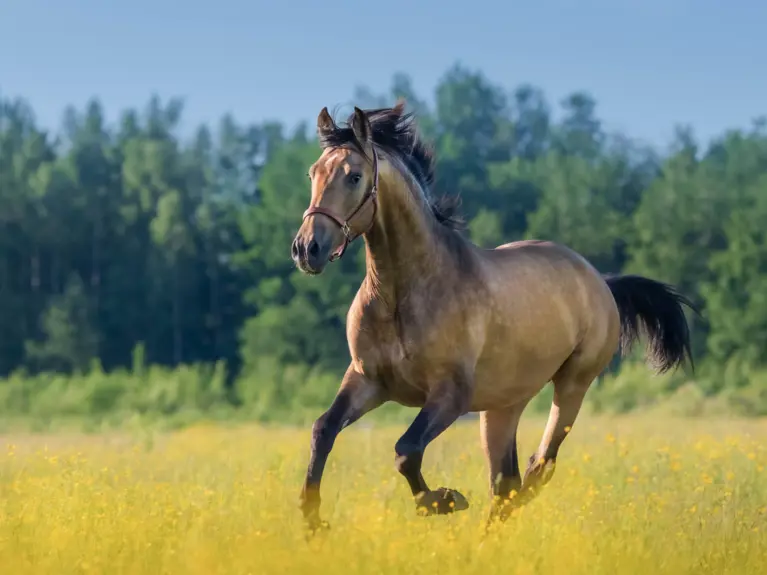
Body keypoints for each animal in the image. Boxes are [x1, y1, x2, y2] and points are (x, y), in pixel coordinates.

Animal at [290, 100, 696, 532]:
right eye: (313, 172)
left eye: (353, 176)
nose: (307, 249)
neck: (401, 294)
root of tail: (600, 281)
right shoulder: (367, 380)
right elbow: (322, 430)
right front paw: (313, 521)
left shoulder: (450, 395)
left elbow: (406, 449)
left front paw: (444, 500)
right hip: (503, 406)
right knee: (506, 482)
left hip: (572, 385)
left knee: (538, 468)